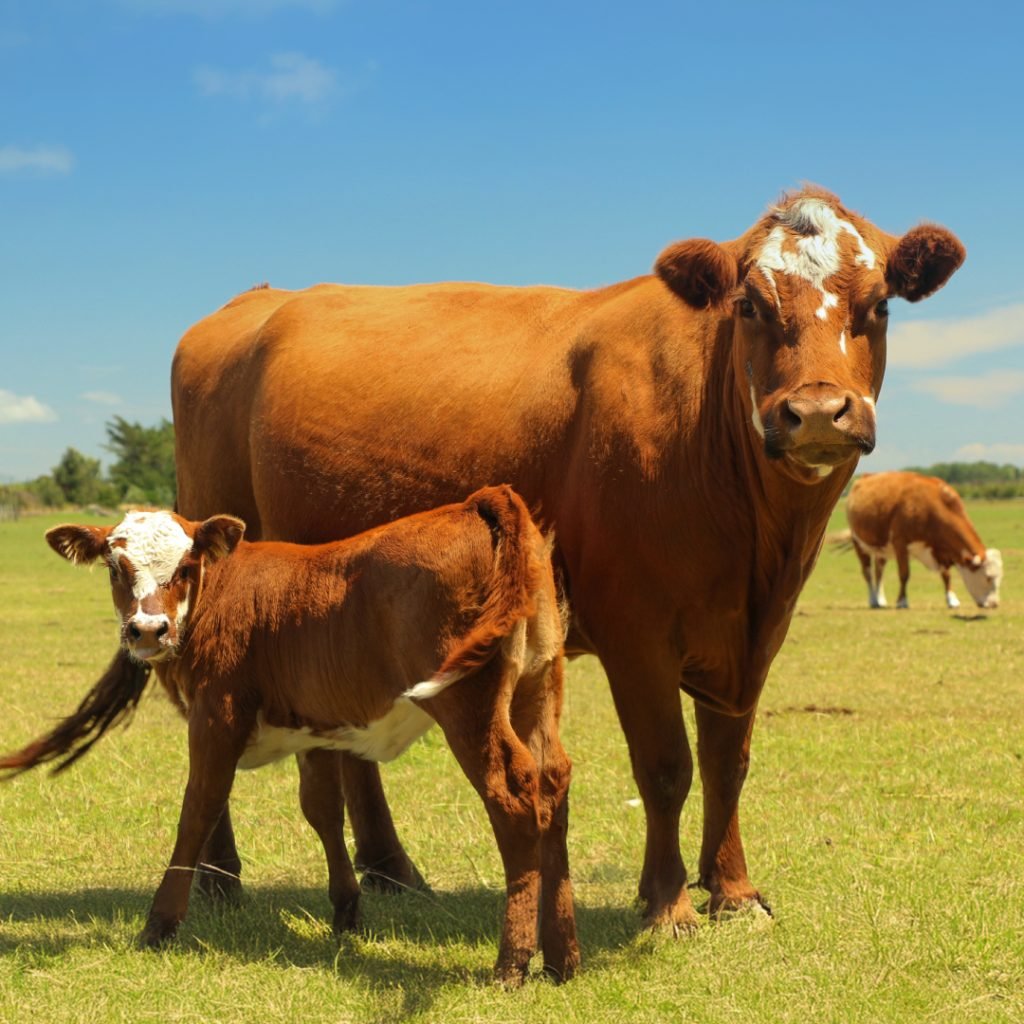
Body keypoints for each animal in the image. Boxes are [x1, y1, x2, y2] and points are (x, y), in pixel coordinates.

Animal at [2, 187, 965, 934]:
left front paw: (731, 892)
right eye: (753, 306)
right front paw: (667, 905)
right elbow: (665, 764)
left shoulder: (754, 631)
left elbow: (729, 759)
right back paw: (219, 879)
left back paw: (388, 872)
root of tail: (251, 304)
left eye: (879, 303)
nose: (816, 413)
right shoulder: (635, 628)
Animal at [40, 486, 578, 985]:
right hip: (538, 685)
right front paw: (346, 912)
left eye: (188, 564)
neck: (221, 592)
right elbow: (322, 809)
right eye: (115, 566)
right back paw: (562, 958)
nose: (149, 630)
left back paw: (511, 964)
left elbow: (199, 809)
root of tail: (477, 503)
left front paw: (160, 923)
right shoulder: (316, 726)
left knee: (512, 796)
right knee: (552, 785)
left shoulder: (217, 715)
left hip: (469, 704)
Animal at [845, 471, 1002, 610]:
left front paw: (952, 600)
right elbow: (904, 574)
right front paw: (902, 601)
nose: (994, 604)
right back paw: (873, 600)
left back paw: (880, 600)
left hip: (882, 549)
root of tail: (865, 476)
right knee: (867, 572)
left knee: (879, 571)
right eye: (988, 577)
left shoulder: (940, 550)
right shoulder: (900, 544)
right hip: (858, 543)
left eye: (999, 578)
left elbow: (946, 575)